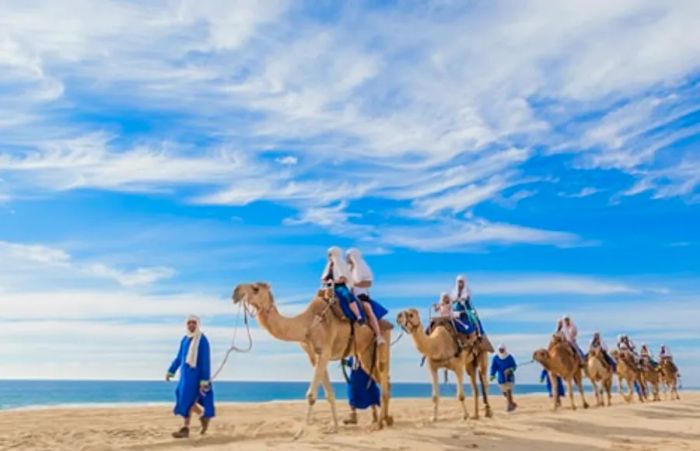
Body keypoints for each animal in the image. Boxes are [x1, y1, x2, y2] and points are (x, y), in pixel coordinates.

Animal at [231, 284, 392, 432]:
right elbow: (329, 393)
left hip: (383, 340)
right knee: (381, 379)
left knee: (384, 376)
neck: (308, 324)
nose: (235, 292)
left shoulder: (325, 351)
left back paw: (379, 423)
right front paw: (334, 427)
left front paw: (299, 433)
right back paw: (387, 419)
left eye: (255, 288)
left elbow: (311, 395)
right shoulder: (315, 355)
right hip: (365, 352)